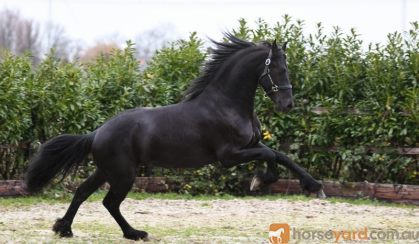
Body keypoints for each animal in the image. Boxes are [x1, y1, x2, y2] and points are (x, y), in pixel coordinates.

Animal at [25, 33, 324, 241]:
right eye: (278, 69)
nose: (287, 104)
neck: (226, 103)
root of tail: (97, 132)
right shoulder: (229, 156)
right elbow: (271, 155)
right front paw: (261, 180)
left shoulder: (250, 144)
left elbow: (282, 155)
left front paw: (314, 186)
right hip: (122, 173)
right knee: (109, 202)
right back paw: (135, 233)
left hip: (106, 170)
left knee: (83, 192)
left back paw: (65, 229)